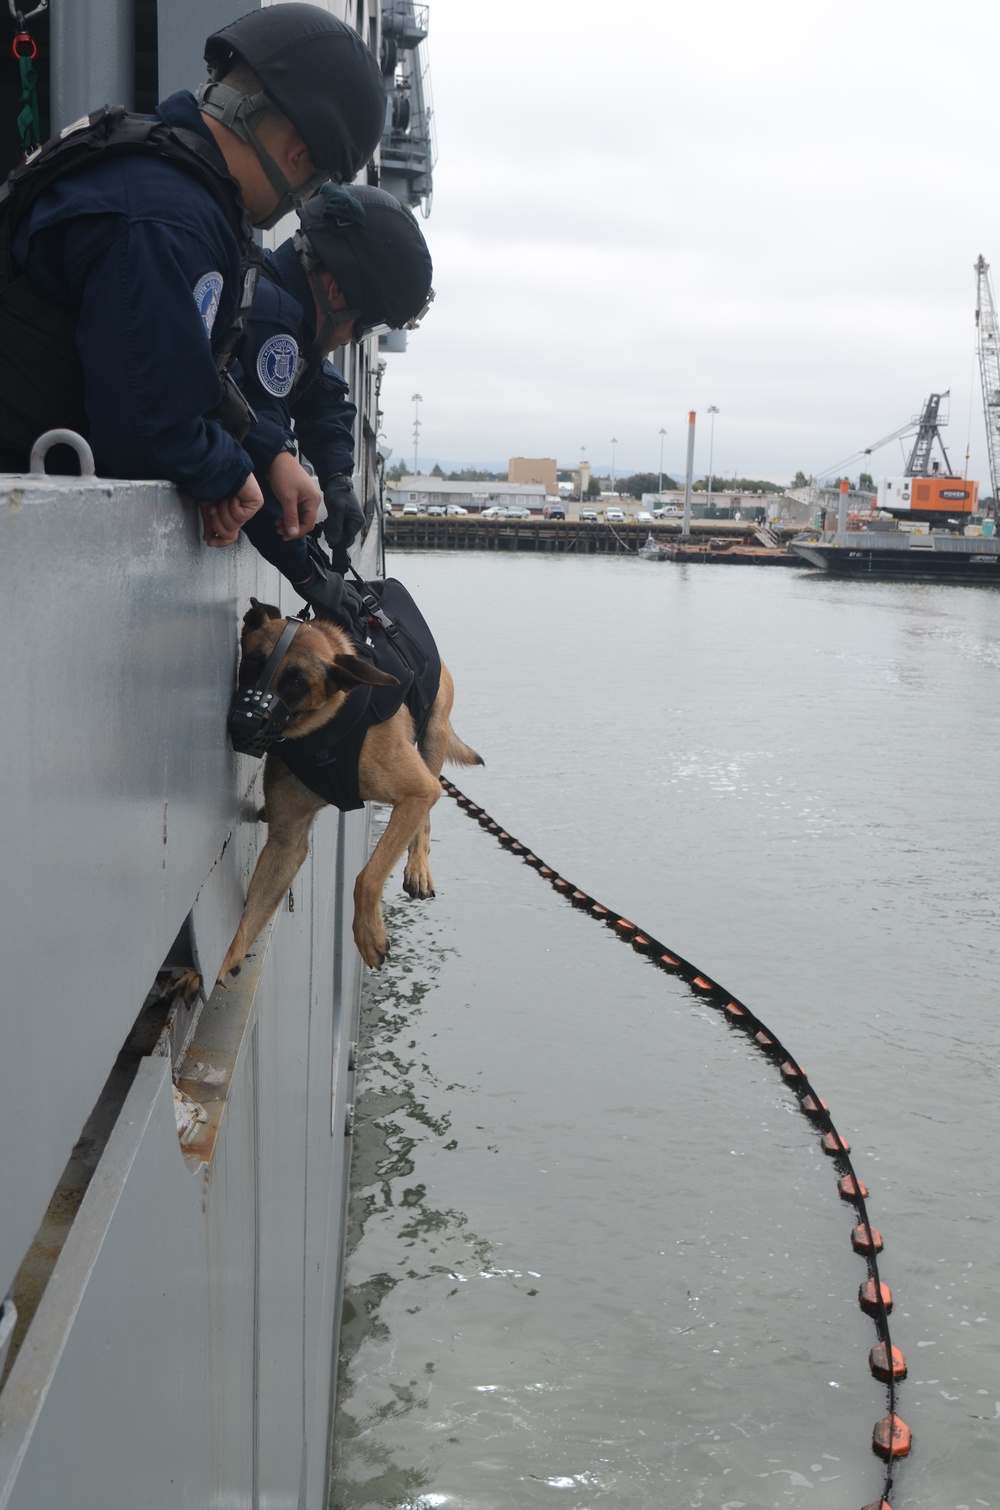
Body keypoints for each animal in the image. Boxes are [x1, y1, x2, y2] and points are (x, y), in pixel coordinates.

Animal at [220, 591, 486, 978]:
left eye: (296, 682)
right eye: (253, 662)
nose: (243, 724)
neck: (323, 731)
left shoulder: (417, 791)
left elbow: (367, 877)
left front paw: (368, 934)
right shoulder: (287, 842)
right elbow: (252, 912)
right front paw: (224, 964)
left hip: (432, 739)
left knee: (425, 816)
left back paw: (418, 868)